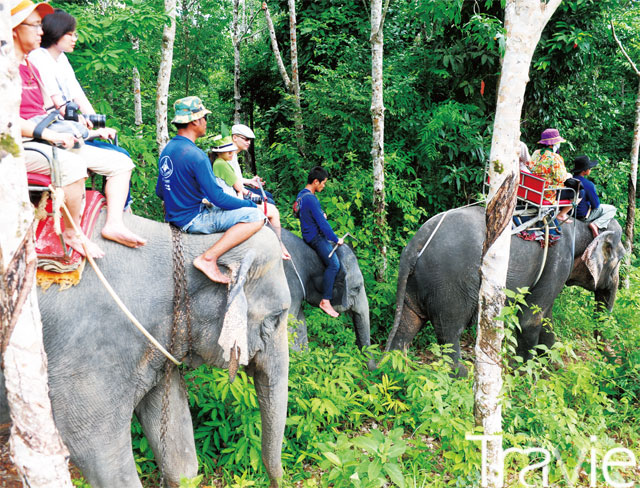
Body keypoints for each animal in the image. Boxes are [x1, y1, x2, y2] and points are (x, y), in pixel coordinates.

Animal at [384, 204, 624, 376]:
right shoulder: (558, 260)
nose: (612, 361)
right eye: (620, 259)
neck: (581, 225)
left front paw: (553, 368)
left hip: (418, 283)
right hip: (450, 282)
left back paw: (395, 371)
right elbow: (530, 320)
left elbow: (546, 317)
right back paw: (461, 374)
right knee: (449, 330)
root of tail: (415, 245)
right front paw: (526, 375)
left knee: (409, 322)